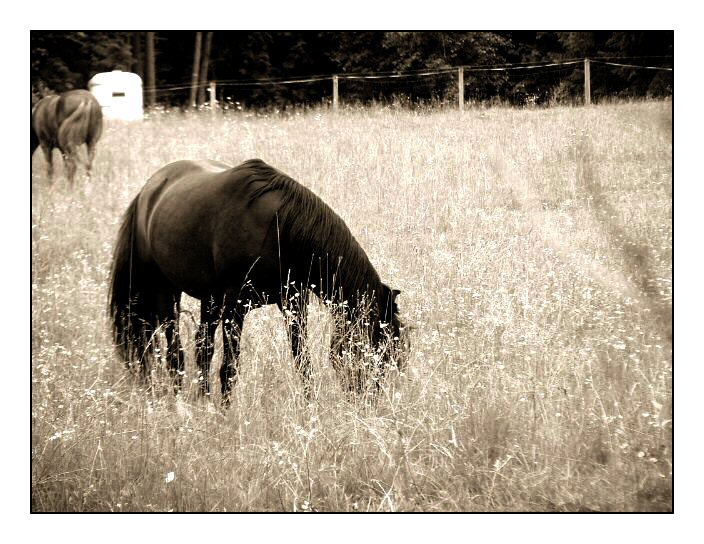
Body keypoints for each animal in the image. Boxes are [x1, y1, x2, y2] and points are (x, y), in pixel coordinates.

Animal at [108, 157, 408, 404]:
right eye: (376, 347)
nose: (371, 401)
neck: (278, 230)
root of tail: (148, 190)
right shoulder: (235, 307)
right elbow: (229, 367)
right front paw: (225, 416)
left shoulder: (293, 303)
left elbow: (302, 361)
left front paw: (311, 407)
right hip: (166, 291)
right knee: (175, 352)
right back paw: (181, 403)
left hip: (210, 299)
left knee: (202, 347)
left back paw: (203, 400)